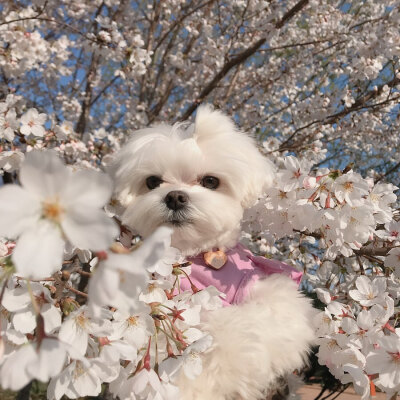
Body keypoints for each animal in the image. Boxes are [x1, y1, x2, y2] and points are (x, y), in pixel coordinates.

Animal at [111, 105, 314, 400]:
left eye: (210, 181)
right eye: (152, 182)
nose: (175, 197)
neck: (194, 254)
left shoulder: (273, 293)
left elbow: (244, 331)